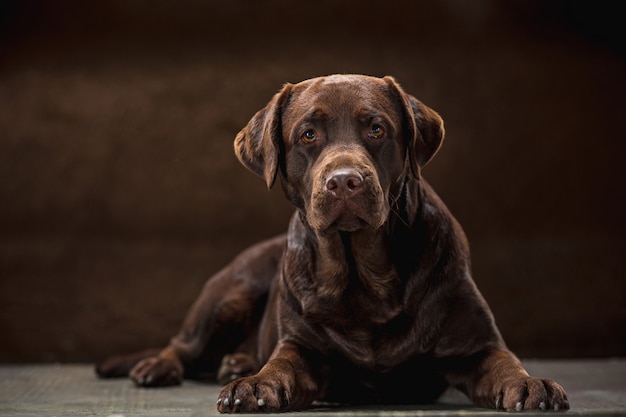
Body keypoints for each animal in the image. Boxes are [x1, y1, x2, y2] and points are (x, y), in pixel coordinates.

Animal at [95, 73, 568, 412]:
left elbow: (505, 362)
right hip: (230, 290)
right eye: (308, 135)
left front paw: (531, 385)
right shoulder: (303, 347)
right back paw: (162, 366)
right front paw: (255, 384)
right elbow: (281, 364)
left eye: (377, 129)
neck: (364, 277)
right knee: (182, 344)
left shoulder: (475, 346)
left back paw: (236, 360)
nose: (344, 181)